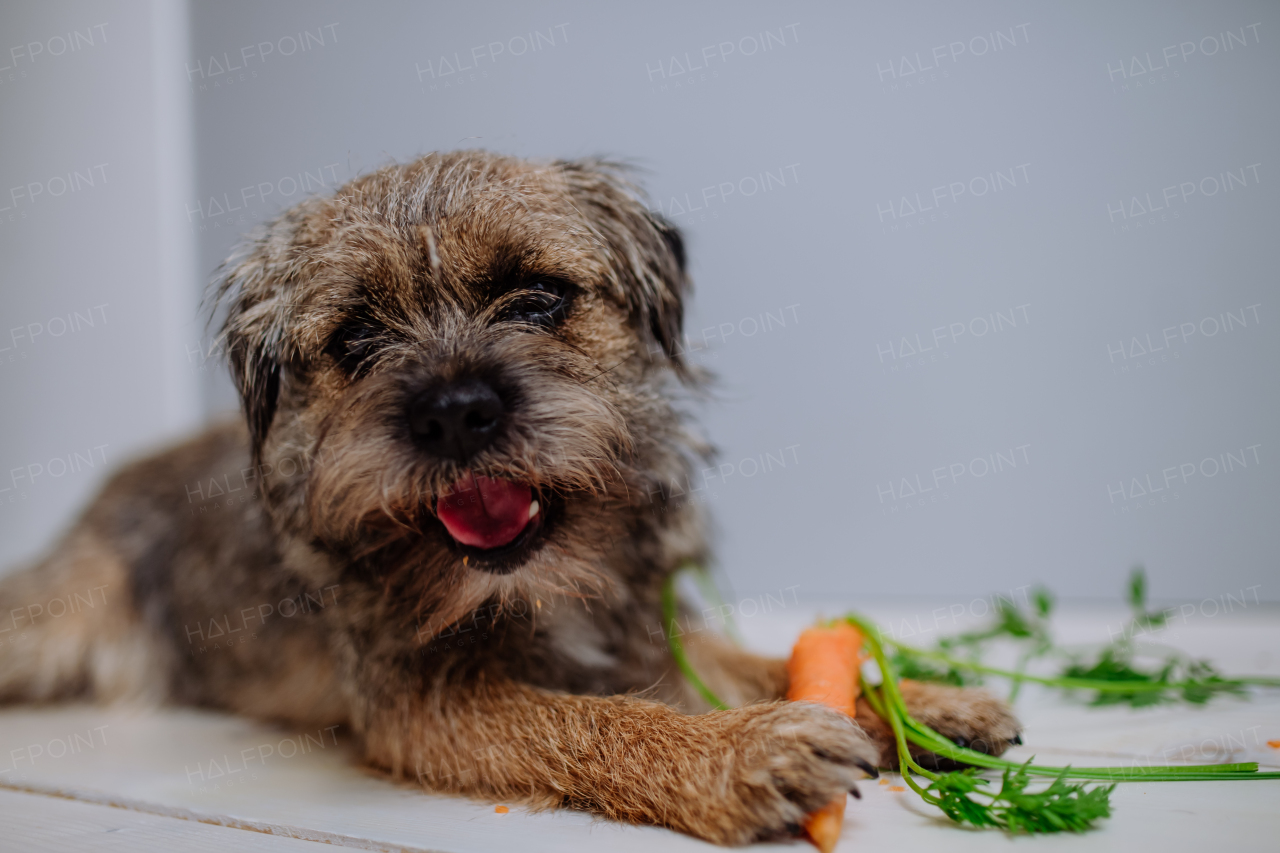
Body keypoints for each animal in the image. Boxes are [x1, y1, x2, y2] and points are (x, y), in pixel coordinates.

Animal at [0, 149, 1018, 840]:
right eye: (356, 337)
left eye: (537, 297)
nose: (455, 412)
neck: (536, 584)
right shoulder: (423, 700)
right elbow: (595, 719)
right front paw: (744, 752)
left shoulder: (639, 627)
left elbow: (754, 657)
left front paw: (920, 702)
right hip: (56, 619)